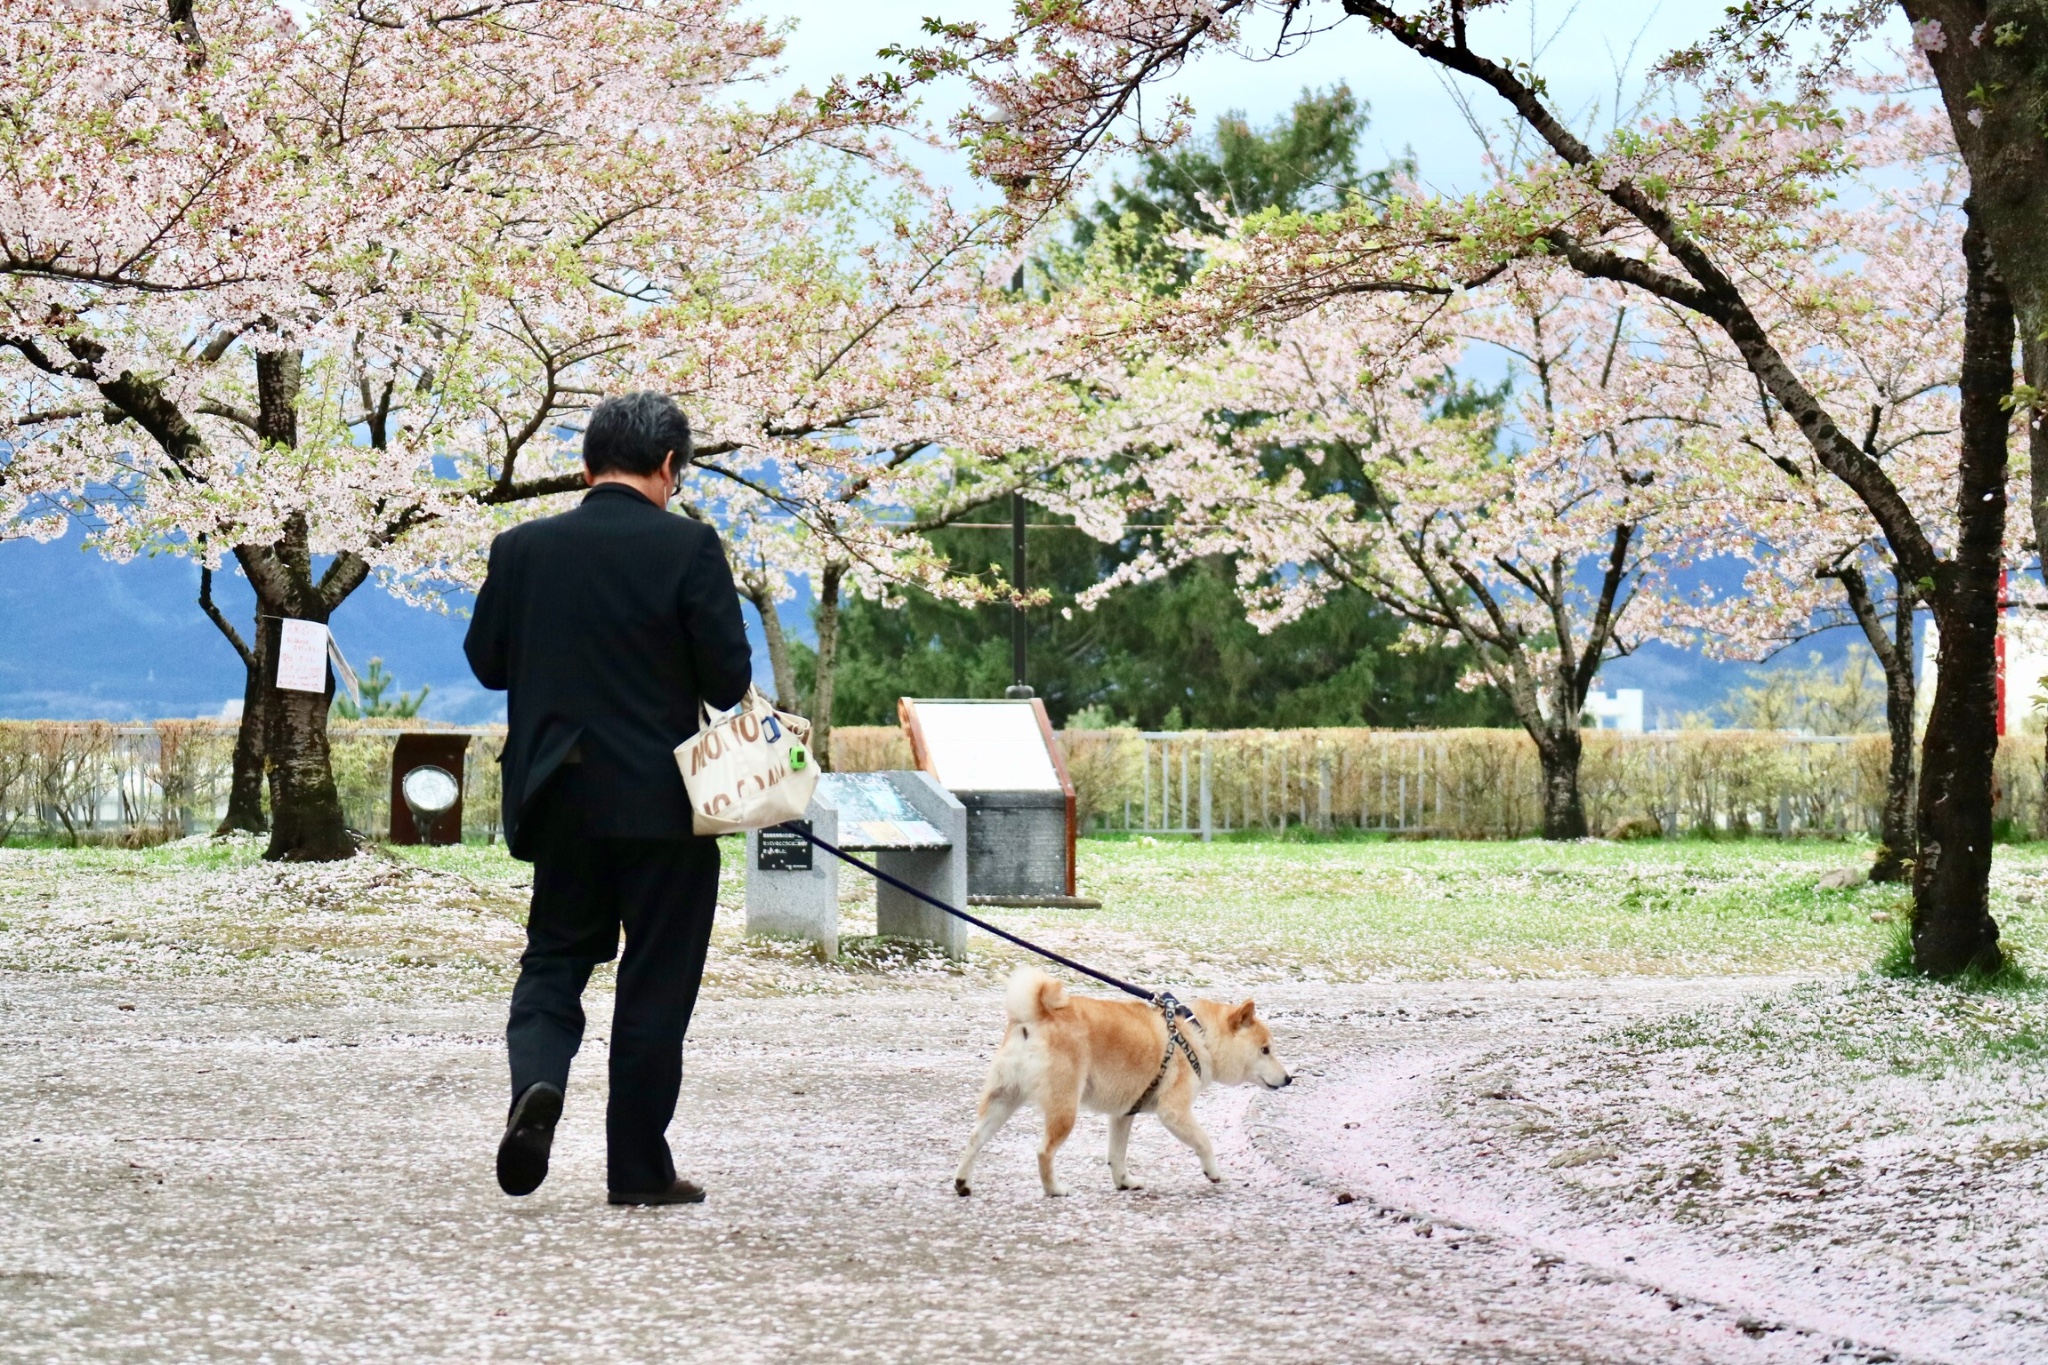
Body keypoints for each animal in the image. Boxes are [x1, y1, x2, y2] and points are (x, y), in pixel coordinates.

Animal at [950, 970, 1286, 1195]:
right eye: (1265, 1050)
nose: (1289, 1078)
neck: (1195, 1034)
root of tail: (1034, 1017)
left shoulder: (1123, 1114)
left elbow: (1116, 1155)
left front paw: (1124, 1182)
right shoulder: (1173, 1112)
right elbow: (1204, 1141)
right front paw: (1213, 1172)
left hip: (1003, 1100)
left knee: (974, 1139)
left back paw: (963, 1183)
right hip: (1064, 1110)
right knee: (1043, 1152)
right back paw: (1054, 1189)